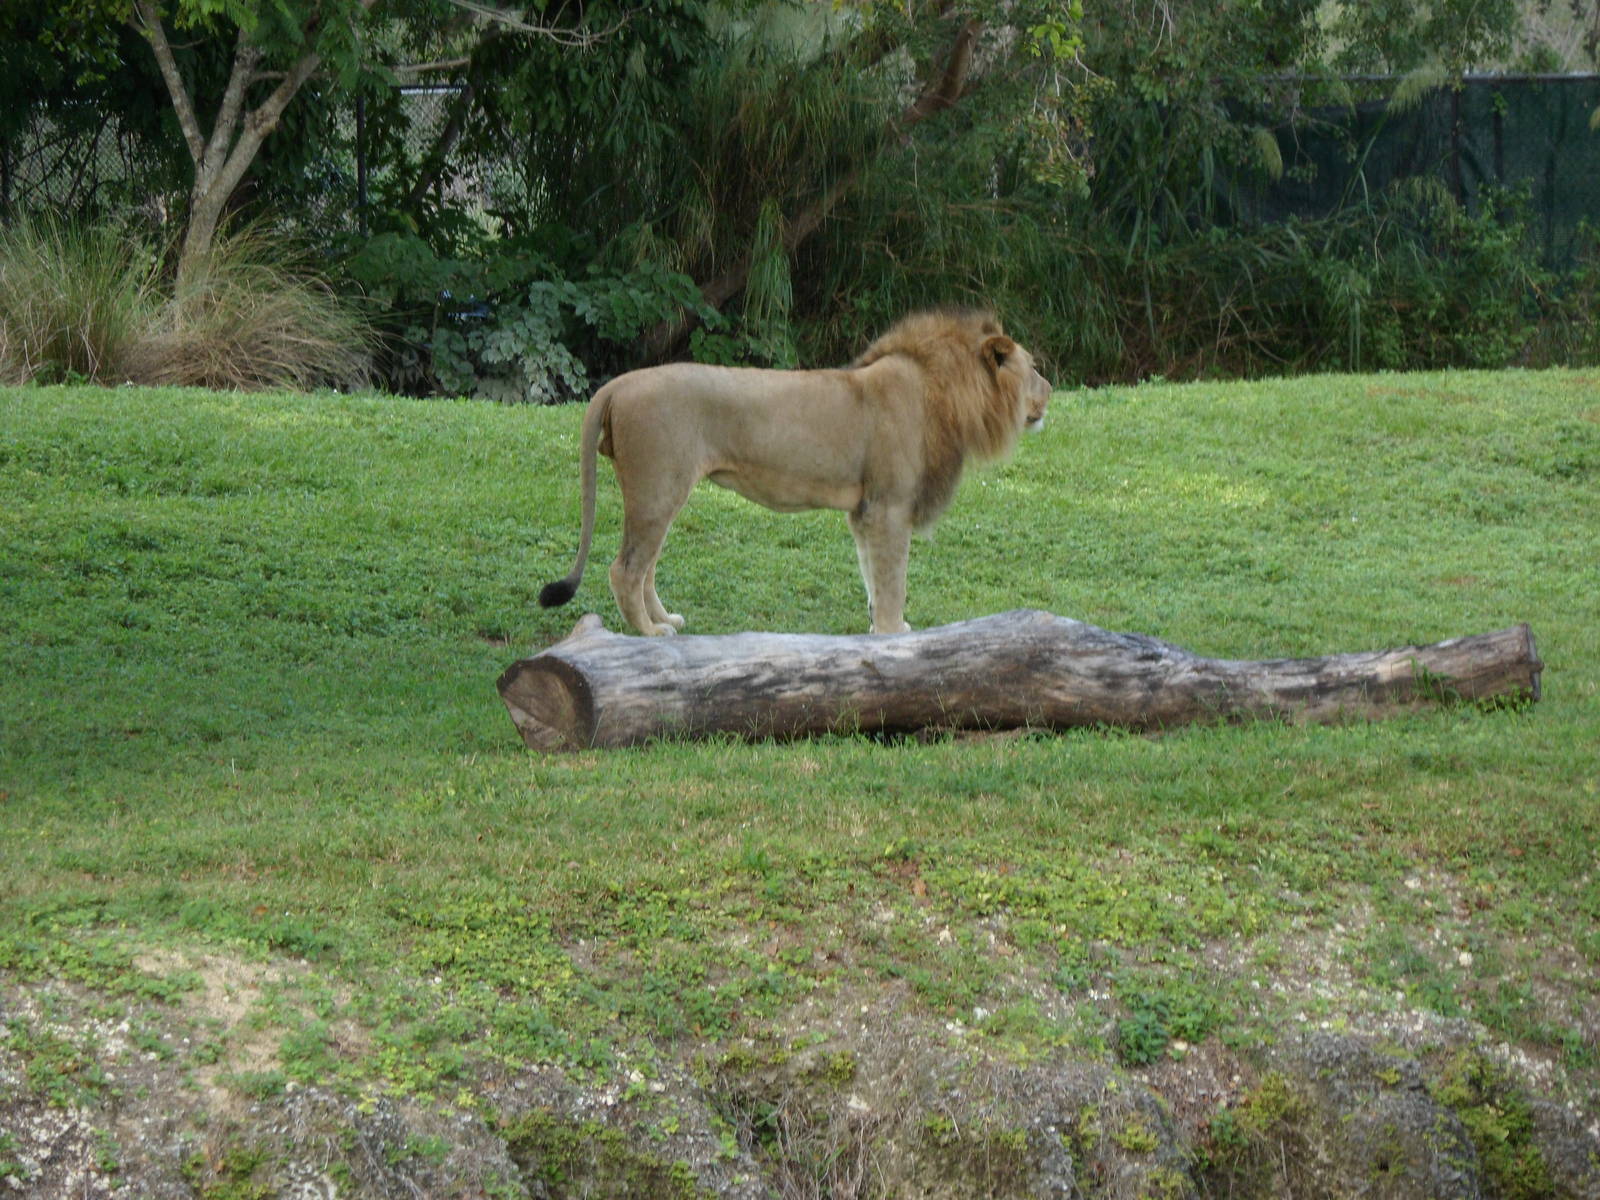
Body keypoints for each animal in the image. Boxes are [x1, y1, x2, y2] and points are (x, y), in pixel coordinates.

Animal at [538, 308, 1051, 635]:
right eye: (1033, 368)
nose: (1051, 389)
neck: (943, 393)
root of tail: (619, 384)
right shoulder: (889, 508)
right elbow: (893, 582)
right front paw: (892, 635)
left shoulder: (865, 512)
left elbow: (872, 577)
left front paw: (883, 628)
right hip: (657, 489)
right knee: (625, 570)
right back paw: (650, 633)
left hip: (662, 495)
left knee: (644, 568)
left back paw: (665, 621)